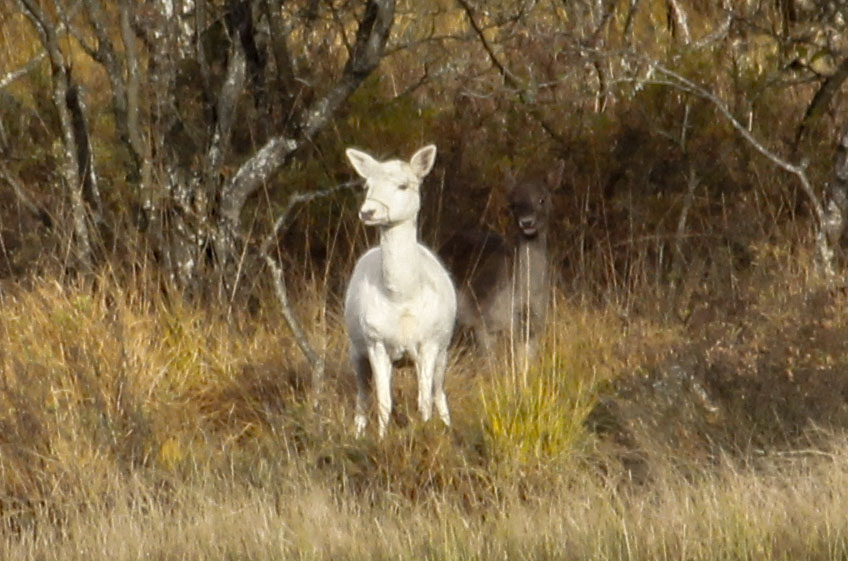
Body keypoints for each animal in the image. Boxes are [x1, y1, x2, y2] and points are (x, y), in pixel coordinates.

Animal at [342, 143, 458, 438]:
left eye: (403, 185)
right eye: (367, 184)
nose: (368, 212)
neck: (401, 297)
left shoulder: (429, 343)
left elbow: (423, 401)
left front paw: (427, 433)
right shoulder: (375, 342)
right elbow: (384, 401)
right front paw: (381, 439)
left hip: (444, 350)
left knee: (439, 393)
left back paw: (447, 425)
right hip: (356, 349)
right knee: (363, 397)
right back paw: (357, 433)